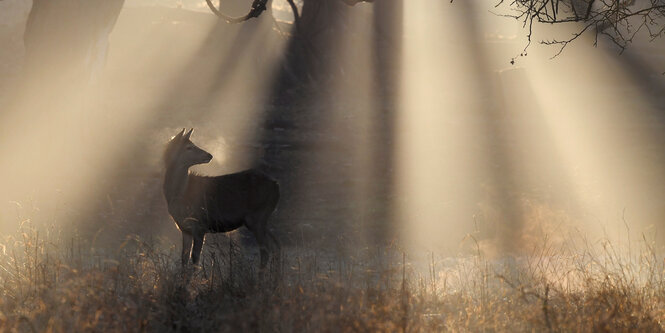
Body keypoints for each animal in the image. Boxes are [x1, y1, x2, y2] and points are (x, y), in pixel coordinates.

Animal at [165, 128, 282, 268]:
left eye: (193, 144)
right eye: (189, 147)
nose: (209, 155)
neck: (181, 194)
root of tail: (276, 185)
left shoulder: (200, 225)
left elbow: (195, 259)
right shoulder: (185, 228)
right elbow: (184, 259)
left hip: (257, 216)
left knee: (266, 250)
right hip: (262, 218)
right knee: (276, 244)